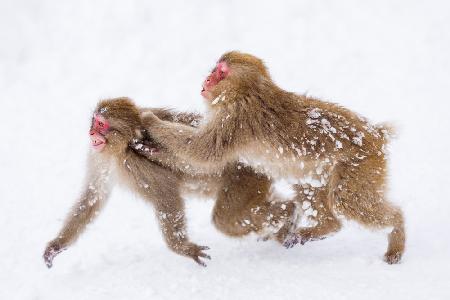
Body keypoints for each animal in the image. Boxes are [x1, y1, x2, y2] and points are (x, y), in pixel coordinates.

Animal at [44, 97, 298, 268]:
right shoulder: (99, 157)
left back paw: (288, 214)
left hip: (244, 178)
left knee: (226, 219)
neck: (120, 149)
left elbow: (167, 197)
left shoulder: (136, 164)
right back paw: (286, 219)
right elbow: (93, 195)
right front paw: (57, 245)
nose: (91, 133)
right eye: (95, 122)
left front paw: (182, 248)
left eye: (102, 125)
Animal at [136, 52, 404, 264]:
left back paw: (397, 230)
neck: (246, 93)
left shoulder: (235, 119)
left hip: (361, 165)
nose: (207, 79)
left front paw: (151, 122)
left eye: (221, 72)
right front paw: (154, 147)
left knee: (347, 200)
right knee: (309, 187)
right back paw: (324, 227)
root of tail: (376, 135)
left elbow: (203, 151)